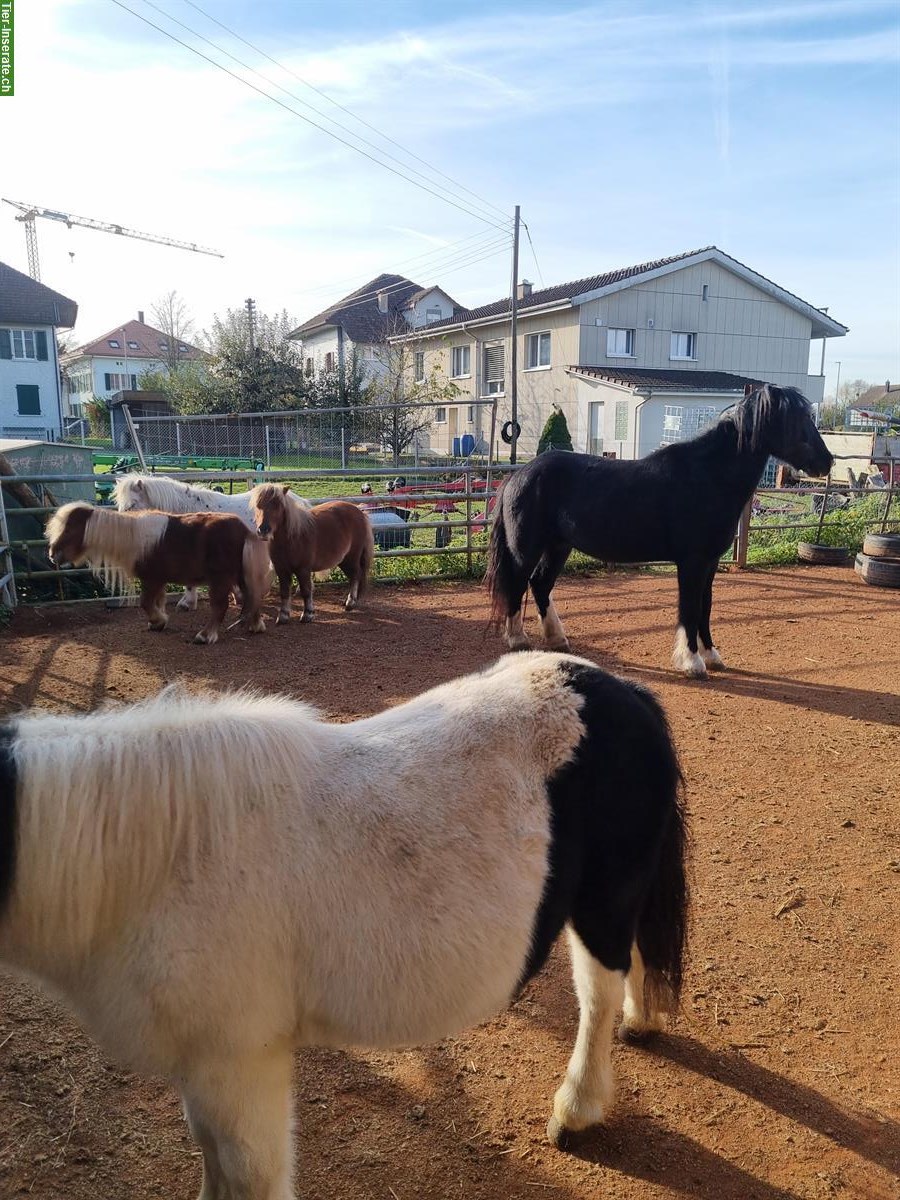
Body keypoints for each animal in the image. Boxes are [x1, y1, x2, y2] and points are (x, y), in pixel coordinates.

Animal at [0, 657, 691, 1200]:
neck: (153, 859)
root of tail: (623, 691)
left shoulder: (237, 1064)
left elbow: (247, 1177)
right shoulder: (205, 1075)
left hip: (601, 906)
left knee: (597, 993)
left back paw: (576, 1109)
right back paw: (640, 1023)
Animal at [46, 499, 271, 643]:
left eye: (69, 529)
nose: (52, 553)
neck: (134, 538)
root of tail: (243, 530)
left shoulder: (151, 579)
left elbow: (145, 602)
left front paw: (158, 621)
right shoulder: (160, 581)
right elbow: (156, 601)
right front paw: (157, 622)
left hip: (220, 580)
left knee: (220, 606)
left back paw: (205, 636)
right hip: (240, 575)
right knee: (252, 596)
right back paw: (255, 626)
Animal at [250, 482, 374, 624]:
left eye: (277, 505)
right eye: (258, 505)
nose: (263, 530)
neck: (292, 538)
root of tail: (359, 511)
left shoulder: (303, 570)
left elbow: (306, 591)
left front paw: (307, 614)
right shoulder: (281, 570)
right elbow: (284, 592)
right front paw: (283, 616)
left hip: (352, 557)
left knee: (355, 576)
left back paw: (350, 603)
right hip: (343, 560)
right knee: (353, 576)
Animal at [487, 384, 840, 676]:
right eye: (795, 420)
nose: (827, 462)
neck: (707, 476)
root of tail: (518, 475)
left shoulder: (710, 562)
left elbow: (705, 607)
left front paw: (712, 656)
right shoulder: (692, 562)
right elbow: (689, 608)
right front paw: (692, 662)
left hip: (559, 546)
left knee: (540, 585)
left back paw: (558, 639)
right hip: (526, 549)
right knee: (517, 584)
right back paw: (517, 639)